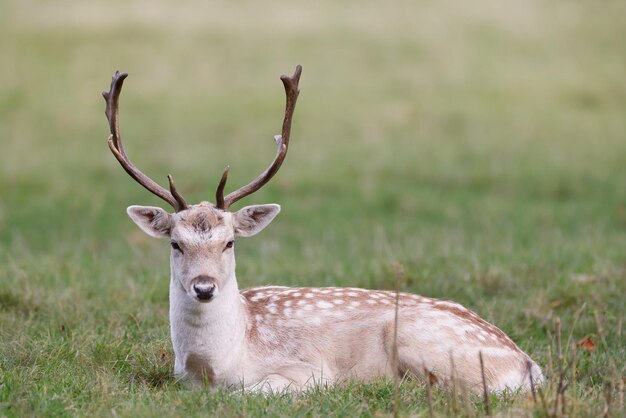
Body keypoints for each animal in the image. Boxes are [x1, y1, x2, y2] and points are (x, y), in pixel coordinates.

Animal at [102, 66, 540, 396]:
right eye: (176, 244)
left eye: (229, 242)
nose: (204, 287)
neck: (212, 366)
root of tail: (527, 364)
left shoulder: (307, 369)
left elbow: (254, 390)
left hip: (420, 341)